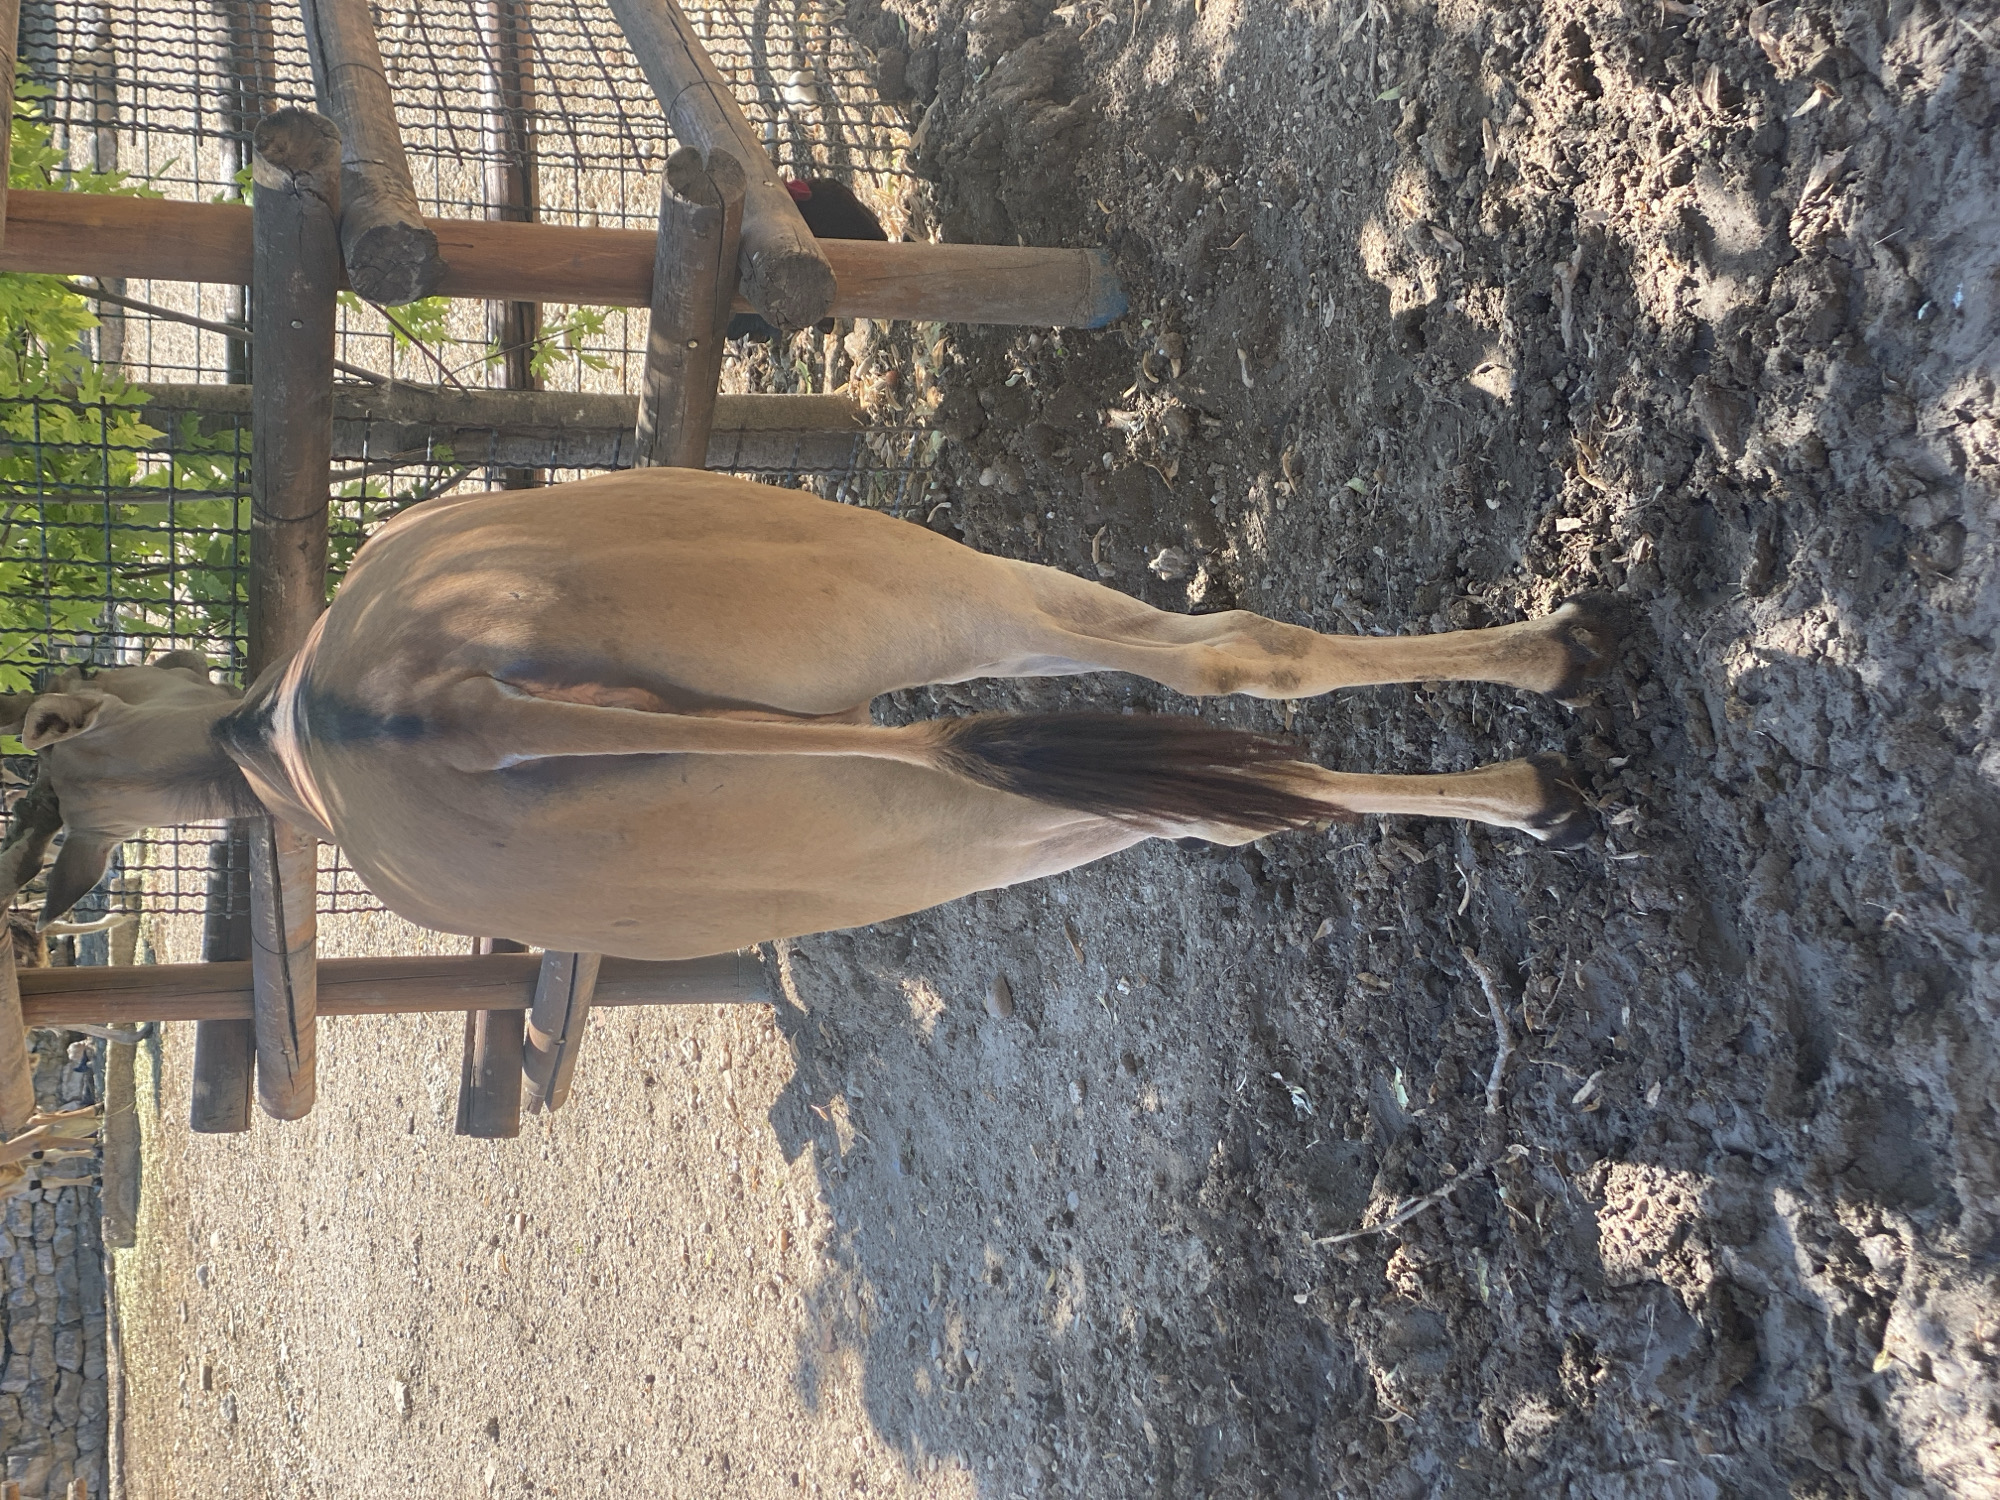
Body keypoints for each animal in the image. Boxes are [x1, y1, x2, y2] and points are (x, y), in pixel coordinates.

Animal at [0, 471, 1618, 958]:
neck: (261, 744)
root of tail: (440, 706)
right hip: (939, 706)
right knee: (1216, 699)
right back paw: (1542, 725)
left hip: (900, 727)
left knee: (1194, 711)